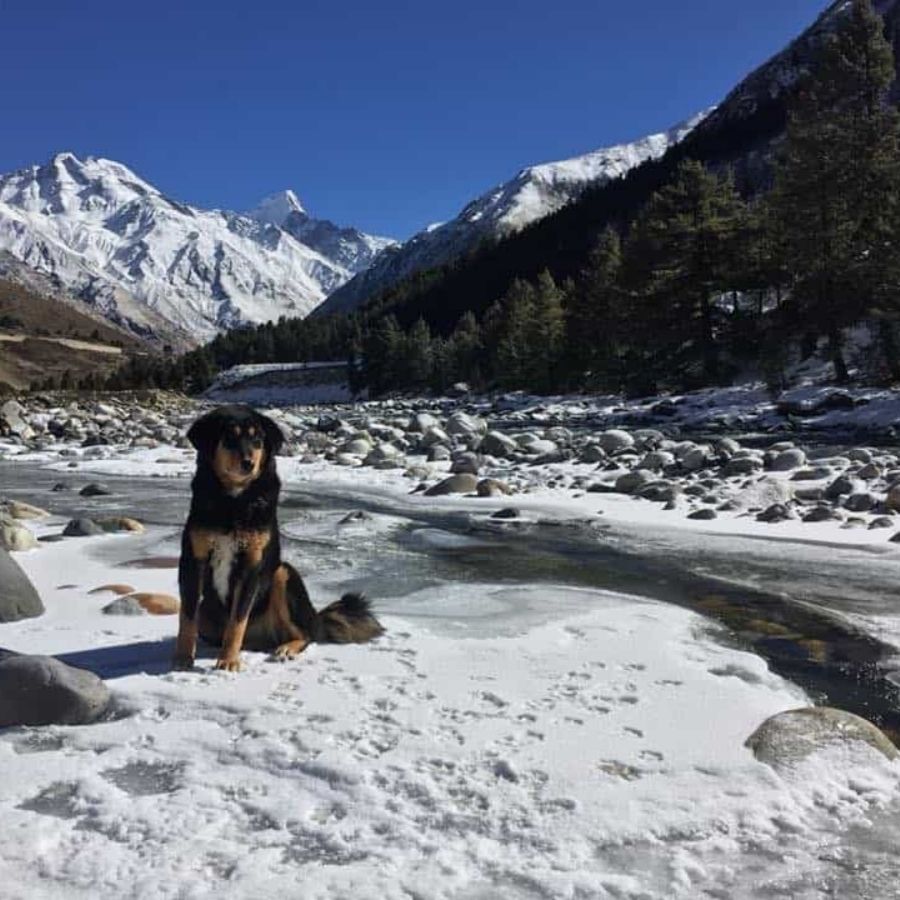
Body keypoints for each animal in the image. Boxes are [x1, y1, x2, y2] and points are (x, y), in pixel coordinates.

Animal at [174, 404, 382, 672]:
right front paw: (182, 658)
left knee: (306, 634)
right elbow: (187, 617)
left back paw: (285, 648)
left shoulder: (251, 565)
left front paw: (228, 661)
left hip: (283, 574)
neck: (233, 500)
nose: (248, 463)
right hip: (209, 620)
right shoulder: (193, 560)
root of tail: (315, 618)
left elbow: (237, 621)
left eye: (257, 439)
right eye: (229, 437)